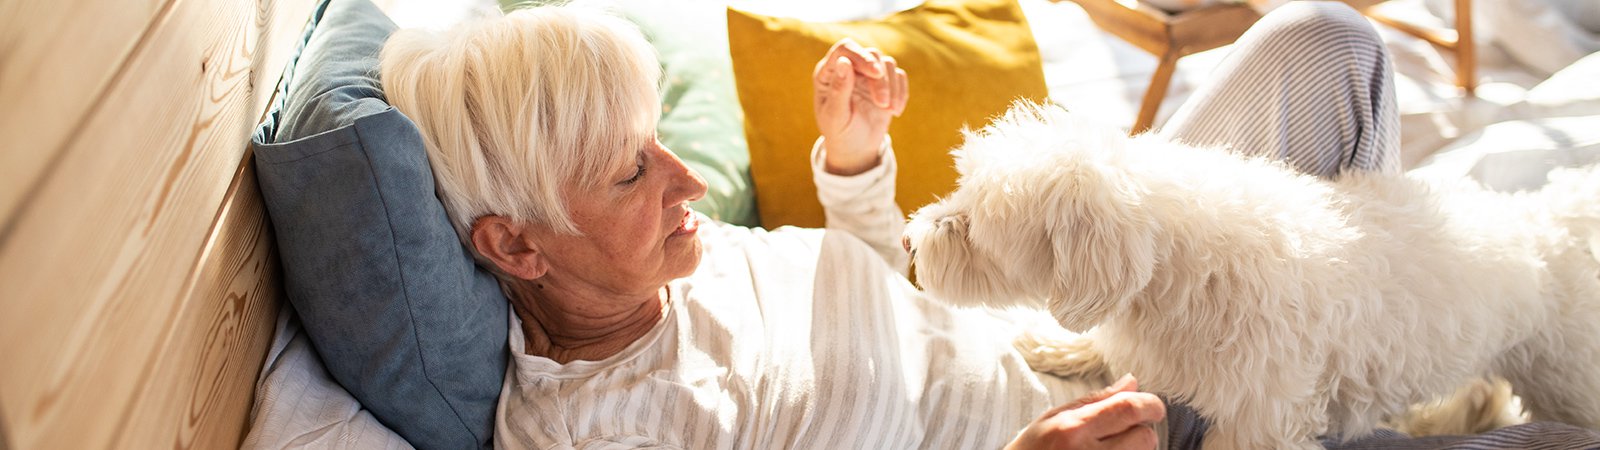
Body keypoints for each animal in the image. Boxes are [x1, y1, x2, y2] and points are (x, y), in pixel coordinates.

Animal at [908, 102, 1593, 448]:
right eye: (961, 191)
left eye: (971, 225)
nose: (912, 235)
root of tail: (1554, 224)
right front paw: (1056, 347)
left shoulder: (1262, 417)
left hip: (1564, 381)